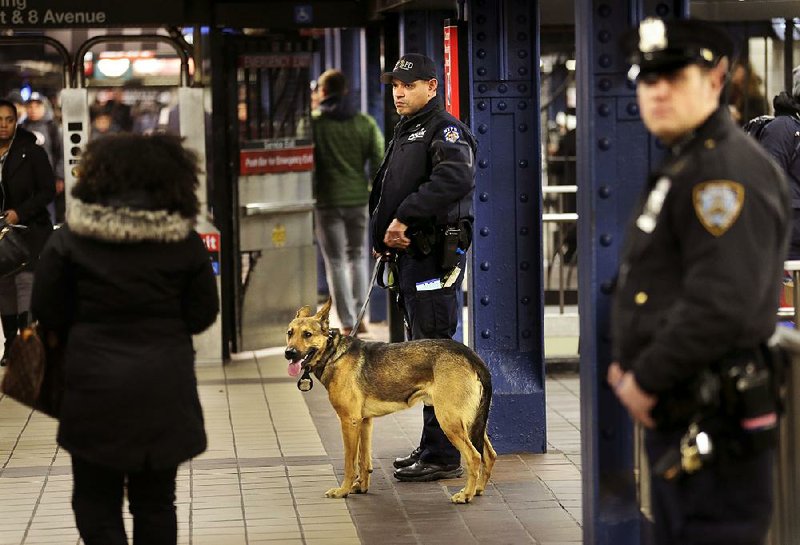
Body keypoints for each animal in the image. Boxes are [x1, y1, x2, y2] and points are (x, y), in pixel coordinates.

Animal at [282, 300, 494, 504]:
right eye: (289, 333)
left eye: (307, 334)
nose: (288, 353)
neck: (333, 353)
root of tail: (470, 355)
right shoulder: (364, 422)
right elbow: (364, 460)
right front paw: (360, 487)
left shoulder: (349, 422)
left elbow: (350, 463)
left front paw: (343, 490)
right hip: (471, 422)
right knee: (489, 455)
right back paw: (478, 489)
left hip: (449, 421)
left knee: (475, 457)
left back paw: (466, 495)